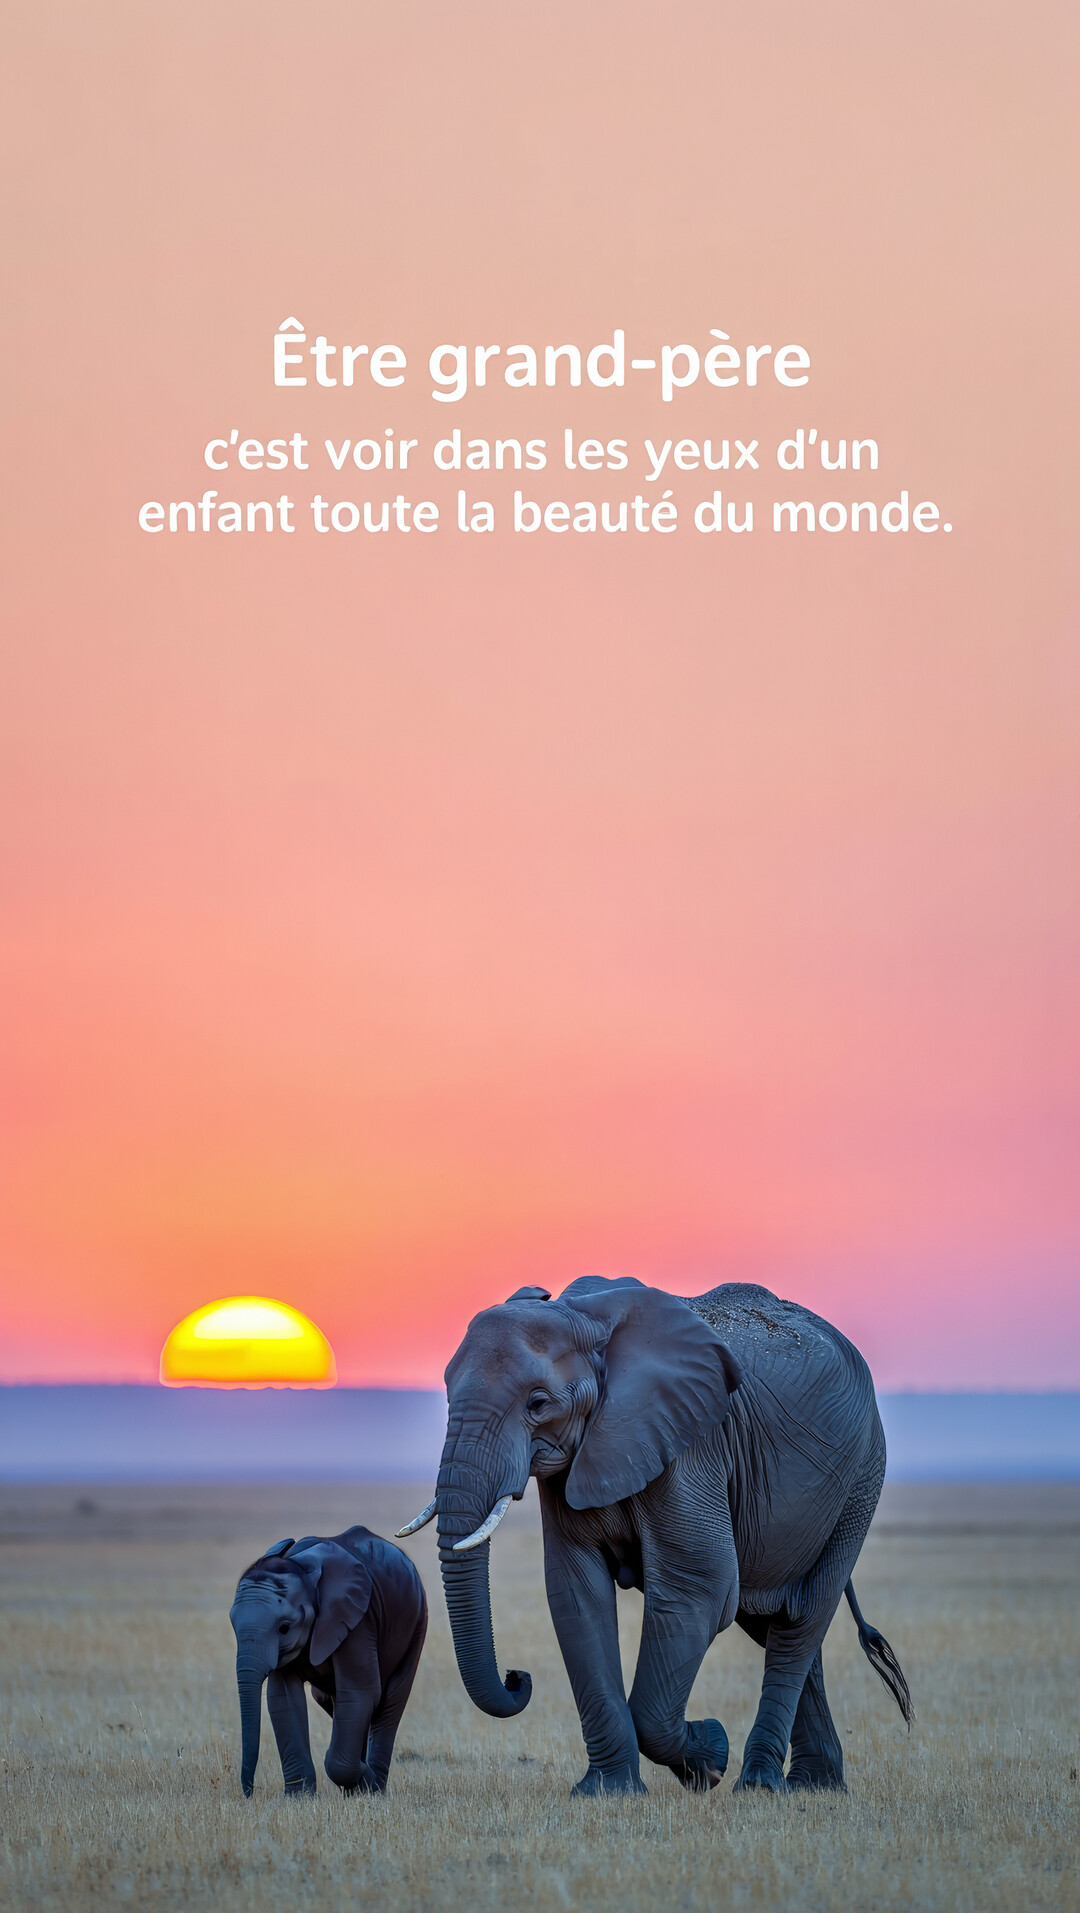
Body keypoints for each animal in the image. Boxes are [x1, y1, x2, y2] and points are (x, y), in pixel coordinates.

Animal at [229, 1524, 427, 1797]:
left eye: (284, 1628)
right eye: (233, 1624)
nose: (249, 1793)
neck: (302, 1570)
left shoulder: (359, 1618)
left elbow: (360, 1691)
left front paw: (364, 1780)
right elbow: (284, 1699)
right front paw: (299, 1798)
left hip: (416, 1623)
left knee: (389, 1702)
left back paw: (374, 1786)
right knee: (330, 1700)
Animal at [398, 1277, 911, 1797]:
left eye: (538, 1404)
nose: (516, 1676)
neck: (583, 1317)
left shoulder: (691, 1446)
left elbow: (698, 1588)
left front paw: (710, 1755)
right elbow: (575, 1593)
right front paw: (608, 1792)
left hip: (860, 1481)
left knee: (802, 1621)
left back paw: (760, 1787)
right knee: (778, 1623)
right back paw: (815, 1786)